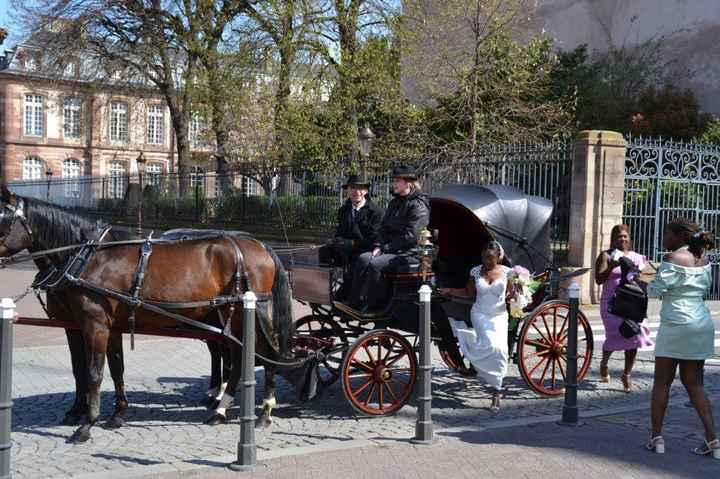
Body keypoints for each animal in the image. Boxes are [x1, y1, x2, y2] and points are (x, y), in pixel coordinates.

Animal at [0, 186, 296, 444]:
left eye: (2, 219)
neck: (90, 255)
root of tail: (261, 246)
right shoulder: (97, 326)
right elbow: (109, 369)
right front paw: (114, 414)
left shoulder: (95, 325)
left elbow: (95, 372)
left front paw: (87, 424)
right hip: (229, 316)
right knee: (238, 355)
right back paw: (222, 410)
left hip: (247, 313)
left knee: (264, 351)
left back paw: (263, 411)